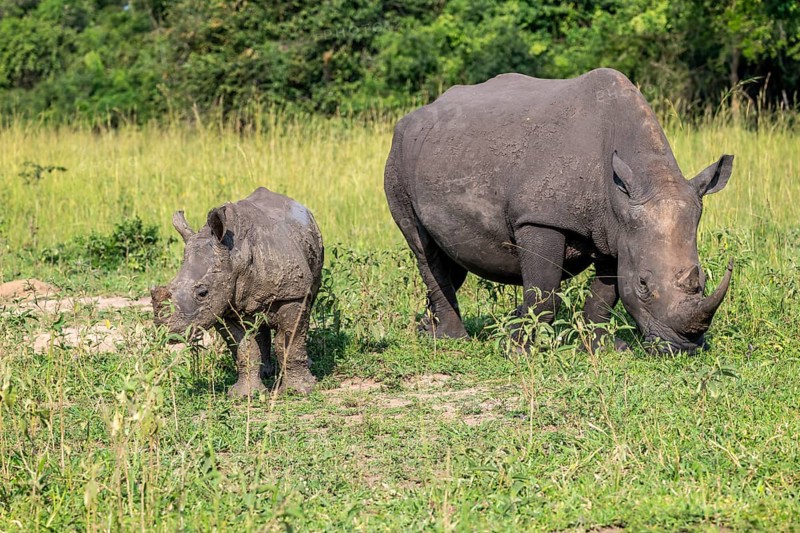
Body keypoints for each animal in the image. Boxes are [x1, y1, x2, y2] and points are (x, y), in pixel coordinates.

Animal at [152, 187, 323, 396]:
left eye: (203, 293)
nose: (168, 333)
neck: (235, 257)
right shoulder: (222, 306)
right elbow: (243, 348)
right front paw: (244, 395)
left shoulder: (292, 294)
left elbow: (290, 342)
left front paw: (298, 391)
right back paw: (266, 373)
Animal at [384, 68, 734, 353]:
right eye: (643, 285)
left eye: (703, 279)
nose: (683, 347)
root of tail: (410, 118)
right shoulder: (541, 219)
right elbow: (543, 288)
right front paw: (522, 350)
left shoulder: (616, 229)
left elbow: (604, 295)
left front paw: (601, 348)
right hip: (397, 159)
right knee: (423, 248)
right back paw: (452, 340)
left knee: (450, 254)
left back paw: (426, 331)